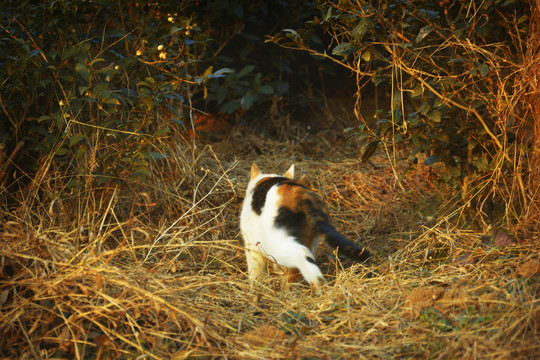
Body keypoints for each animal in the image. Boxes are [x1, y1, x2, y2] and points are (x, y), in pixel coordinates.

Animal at [240, 163, 372, 292]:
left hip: (275, 243)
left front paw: (256, 290)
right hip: (309, 240)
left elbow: (256, 274)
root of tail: (301, 194)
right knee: (297, 270)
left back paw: (316, 287)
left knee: (299, 257)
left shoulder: (252, 247)